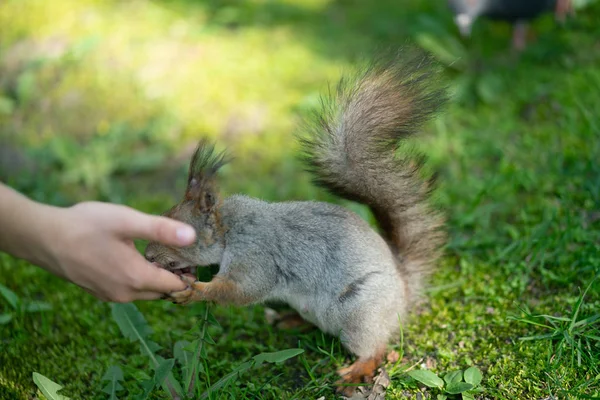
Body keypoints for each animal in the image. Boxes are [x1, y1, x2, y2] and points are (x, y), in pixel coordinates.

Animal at [144, 49, 446, 396]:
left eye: (180, 234)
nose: (148, 256)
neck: (229, 228)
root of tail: (404, 290)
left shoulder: (257, 254)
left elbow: (243, 289)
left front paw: (194, 291)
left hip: (360, 312)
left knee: (377, 348)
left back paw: (356, 371)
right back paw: (291, 321)